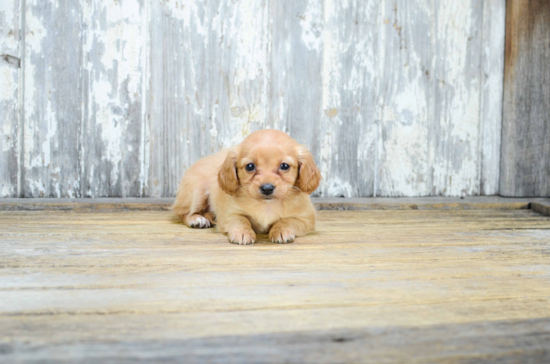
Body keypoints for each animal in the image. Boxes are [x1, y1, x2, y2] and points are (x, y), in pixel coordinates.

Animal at [174, 129, 324, 246]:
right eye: (250, 166)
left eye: (285, 166)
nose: (267, 188)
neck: (267, 205)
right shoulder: (229, 214)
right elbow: (242, 220)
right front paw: (242, 233)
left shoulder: (307, 218)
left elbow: (287, 220)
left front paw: (281, 230)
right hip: (197, 192)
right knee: (182, 213)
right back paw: (197, 219)